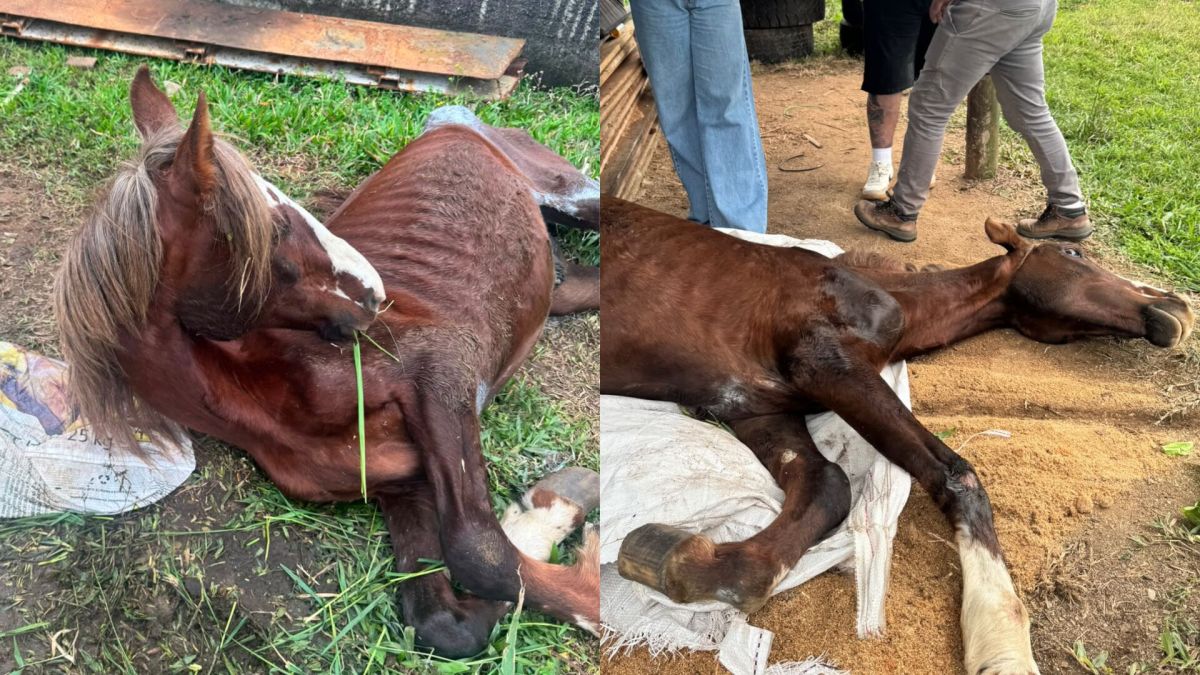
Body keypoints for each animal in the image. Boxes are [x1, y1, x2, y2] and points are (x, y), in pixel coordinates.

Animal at [54, 66, 601, 657]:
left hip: (571, 194)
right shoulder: (404, 483)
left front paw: (566, 528)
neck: (271, 394)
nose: (374, 292)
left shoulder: (442, 370)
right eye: (275, 231)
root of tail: (455, 120)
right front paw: (548, 514)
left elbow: (481, 552)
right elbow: (447, 617)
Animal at [599, 196, 1193, 675]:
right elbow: (956, 474)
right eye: (1073, 256)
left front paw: (694, 566)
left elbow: (828, 484)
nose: (1178, 308)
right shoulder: (827, 365)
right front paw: (1002, 647)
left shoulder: (757, 407)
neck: (890, 298)